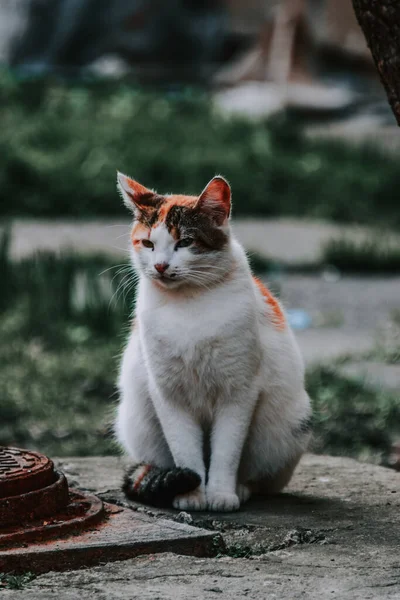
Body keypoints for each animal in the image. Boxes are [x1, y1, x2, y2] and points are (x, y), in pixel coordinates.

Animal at [114, 172, 310, 510]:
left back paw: (241, 488)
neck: (189, 304)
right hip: (137, 422)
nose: (161, 266)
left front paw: (220, 494)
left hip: (290, 427)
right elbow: (186, 451)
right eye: (148, 243)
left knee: (260, 477)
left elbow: (226, 452)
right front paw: (192, 494)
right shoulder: (168, 393)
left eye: (185, 242)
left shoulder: (239, 392)